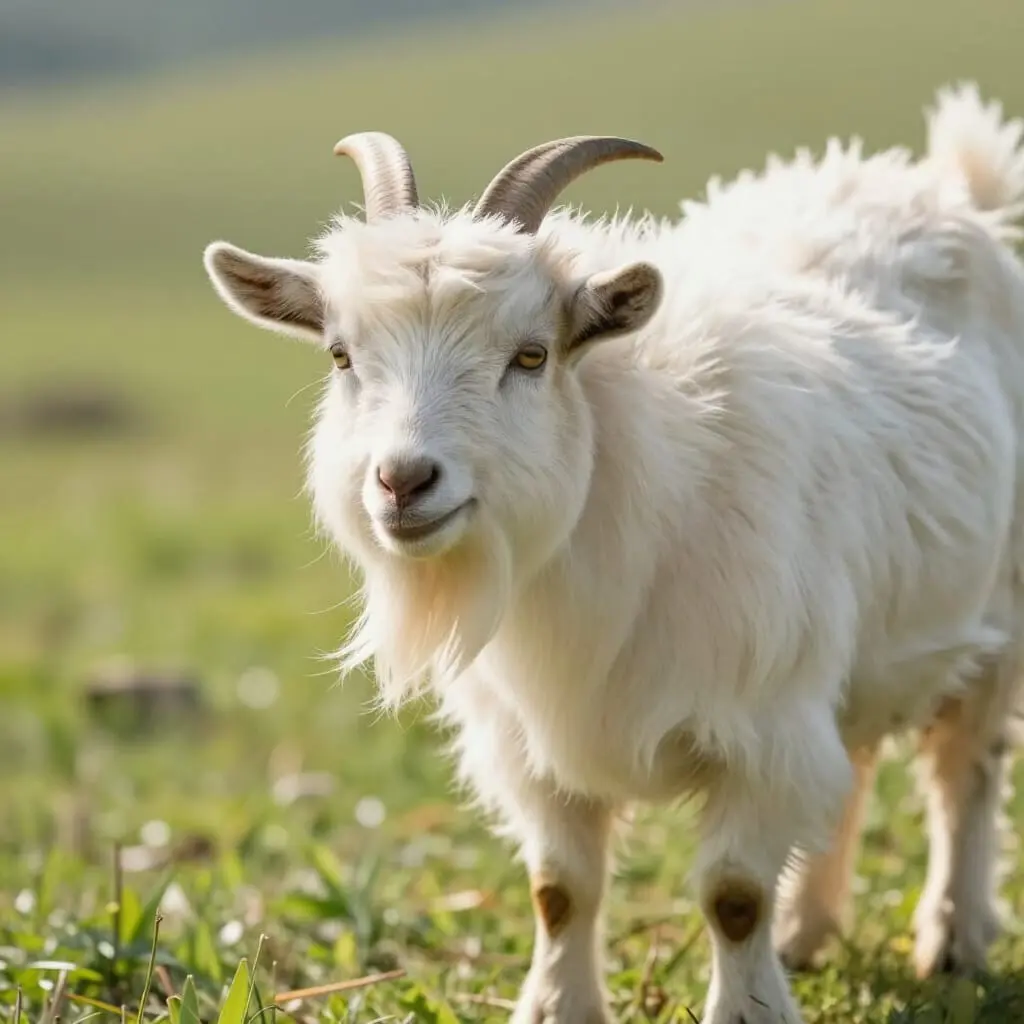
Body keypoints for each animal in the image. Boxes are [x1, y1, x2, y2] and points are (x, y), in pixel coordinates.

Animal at [203, 84, 1024, 1023]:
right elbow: (561, 887)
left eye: (531, 354)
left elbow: (733, 894)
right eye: (342, 355)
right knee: (851, 769)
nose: (404, 480)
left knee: (965, 775)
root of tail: (953, 186)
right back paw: (807, 934)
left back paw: (952, 941)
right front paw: (558, 1004)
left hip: (997, 615)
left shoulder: (764, 721)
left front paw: (748, 1007)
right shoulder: (534, 743)